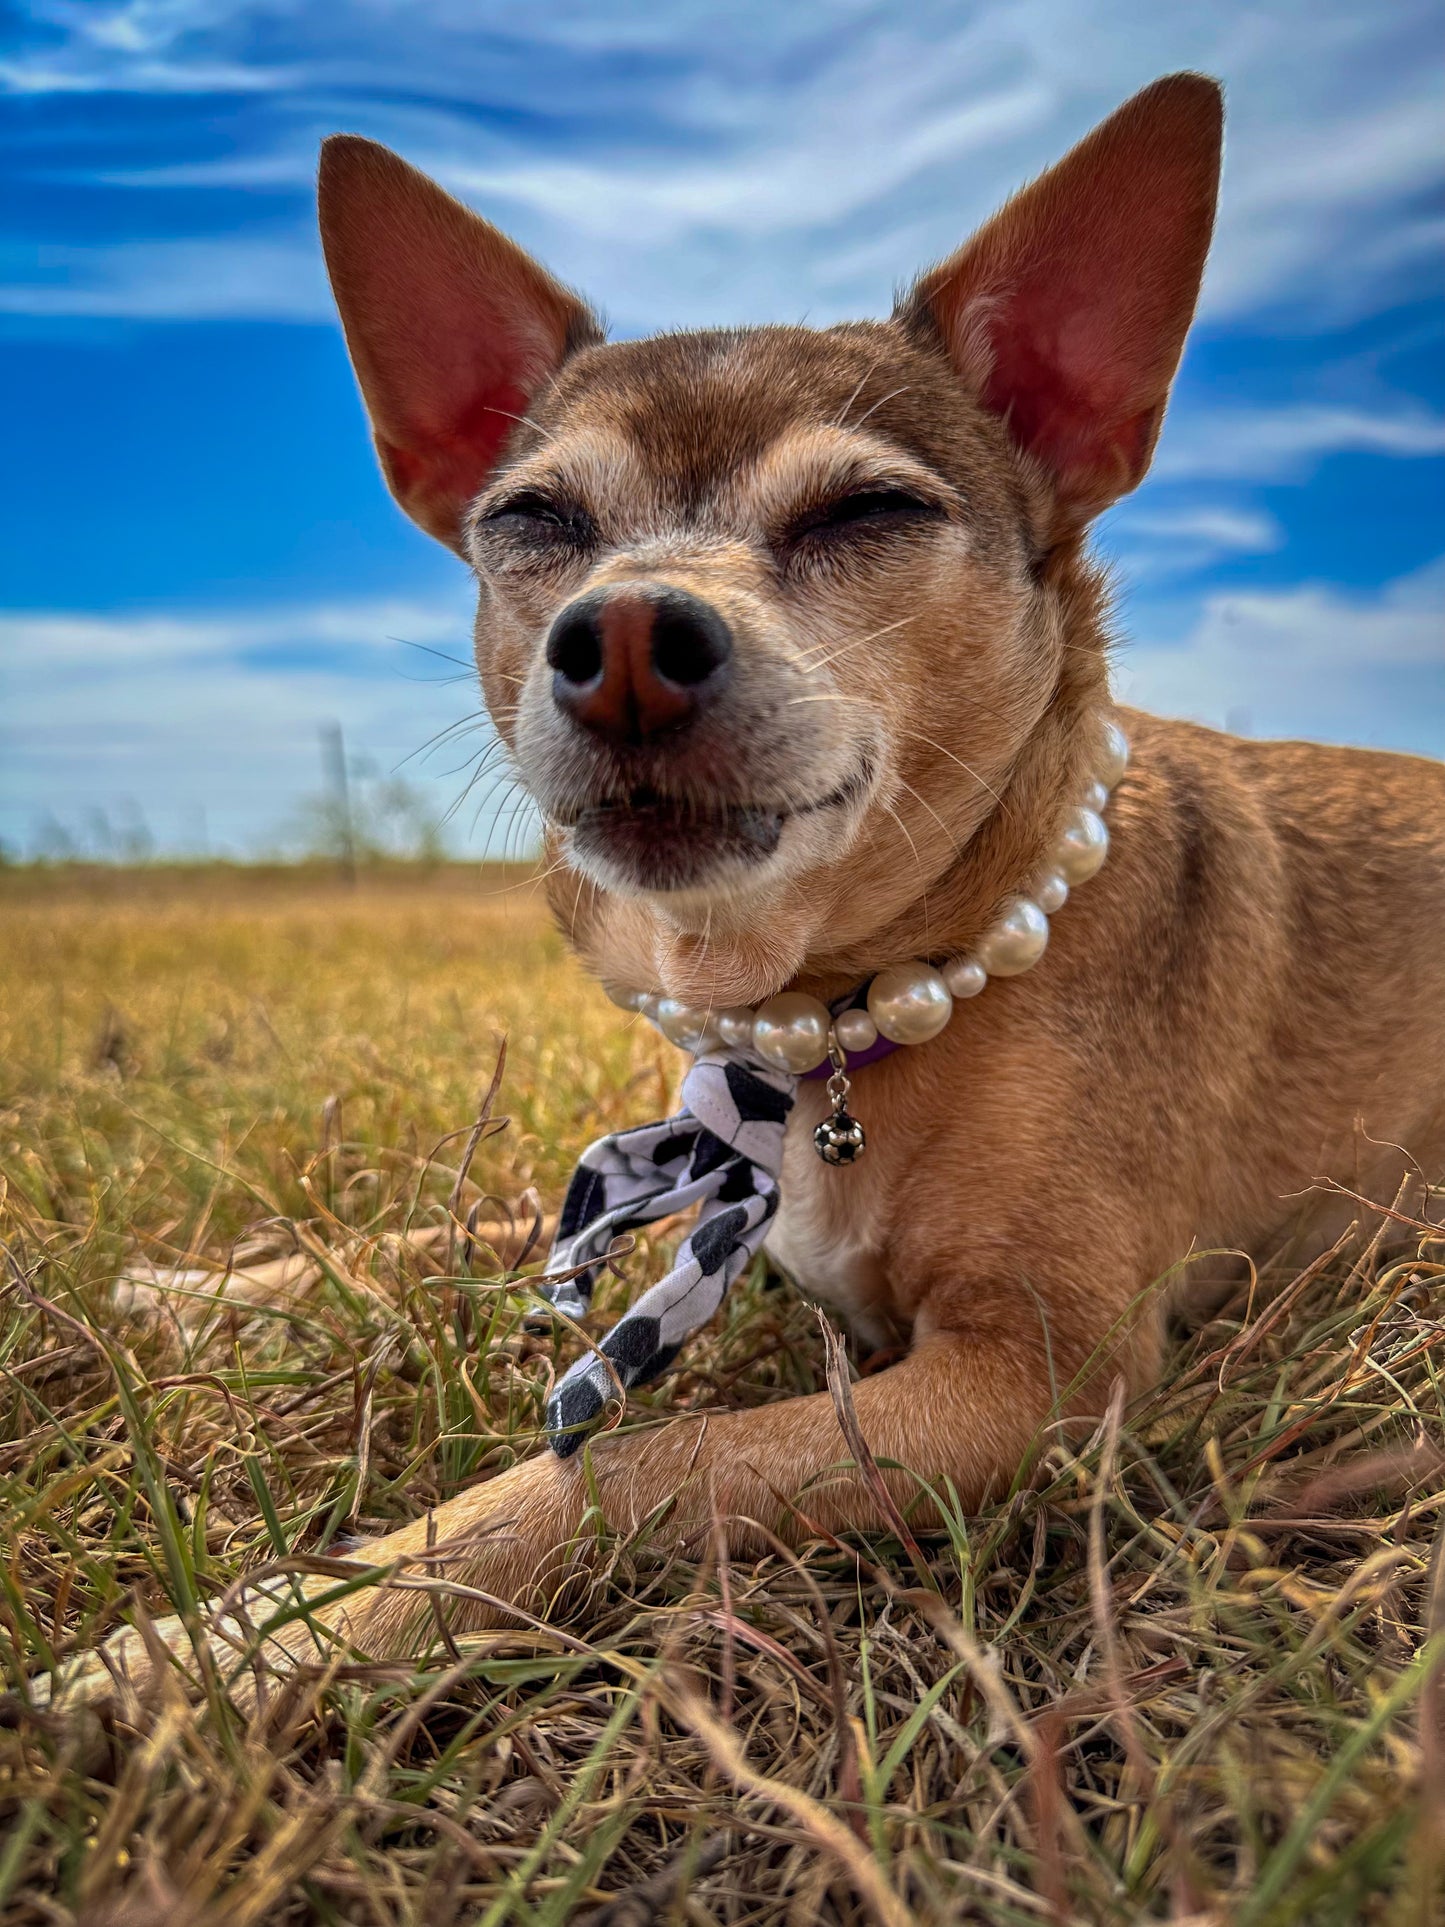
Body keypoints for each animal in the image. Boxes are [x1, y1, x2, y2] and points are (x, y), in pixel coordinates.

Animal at [51, 71, 1441, 1703]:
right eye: (532, 520)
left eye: (865, 513)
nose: (624, 637)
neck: (827, 1019)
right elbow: (471, 1224)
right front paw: (201, 1290)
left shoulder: (1028, 1382)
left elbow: (637, 1461)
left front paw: (249, 1633)